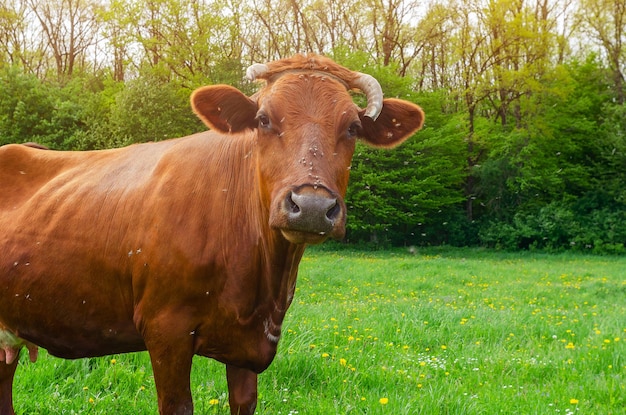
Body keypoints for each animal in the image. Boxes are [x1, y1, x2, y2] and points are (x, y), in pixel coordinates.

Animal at [0, 53, 424, 414]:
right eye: (263, 120)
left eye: (353, 127)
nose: (312, 206)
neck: (263, 288)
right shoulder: (165, 329)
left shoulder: (247, 349)